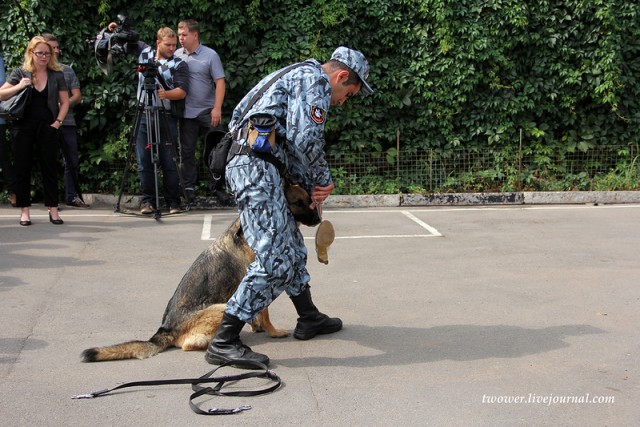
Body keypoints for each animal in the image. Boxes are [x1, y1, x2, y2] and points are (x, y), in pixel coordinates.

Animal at [81, 183, 318, 362]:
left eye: (309, 199)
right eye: (298, 202)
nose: (317, 219)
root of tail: (165, 330)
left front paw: (257, 326)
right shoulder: (262, 279)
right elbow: (265, 312)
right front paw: (272, 331)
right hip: (220, 307)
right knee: (189, 344)